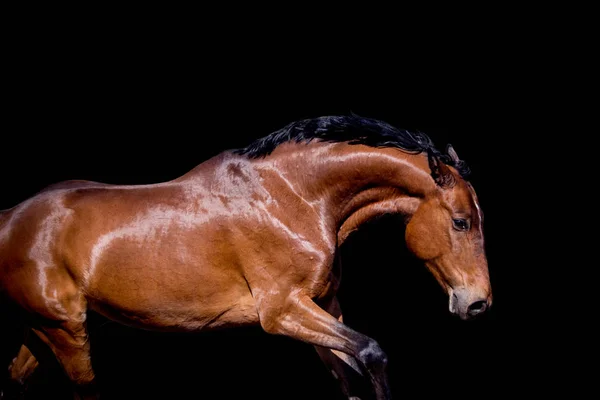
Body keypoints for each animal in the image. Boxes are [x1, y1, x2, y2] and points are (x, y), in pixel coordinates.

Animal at [0, 114, 492, 398]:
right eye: (461, 222)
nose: (478, 303)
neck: (292, 196)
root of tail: (10, 221)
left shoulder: (324, 306)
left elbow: (350, 374)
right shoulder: (282, 311)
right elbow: (372, 353)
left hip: (41, 331)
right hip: (66, 332)